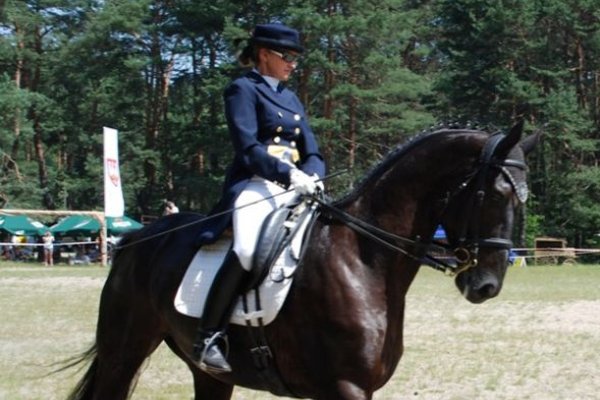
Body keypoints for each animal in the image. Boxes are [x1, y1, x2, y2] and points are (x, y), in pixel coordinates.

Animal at [67, 122, 540, 400]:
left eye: (522, 198)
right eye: (494, 193)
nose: (486, 285)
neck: (363, 261)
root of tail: (135, 239)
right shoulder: (346, 387)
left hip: (210, 375)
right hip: (123, 352)